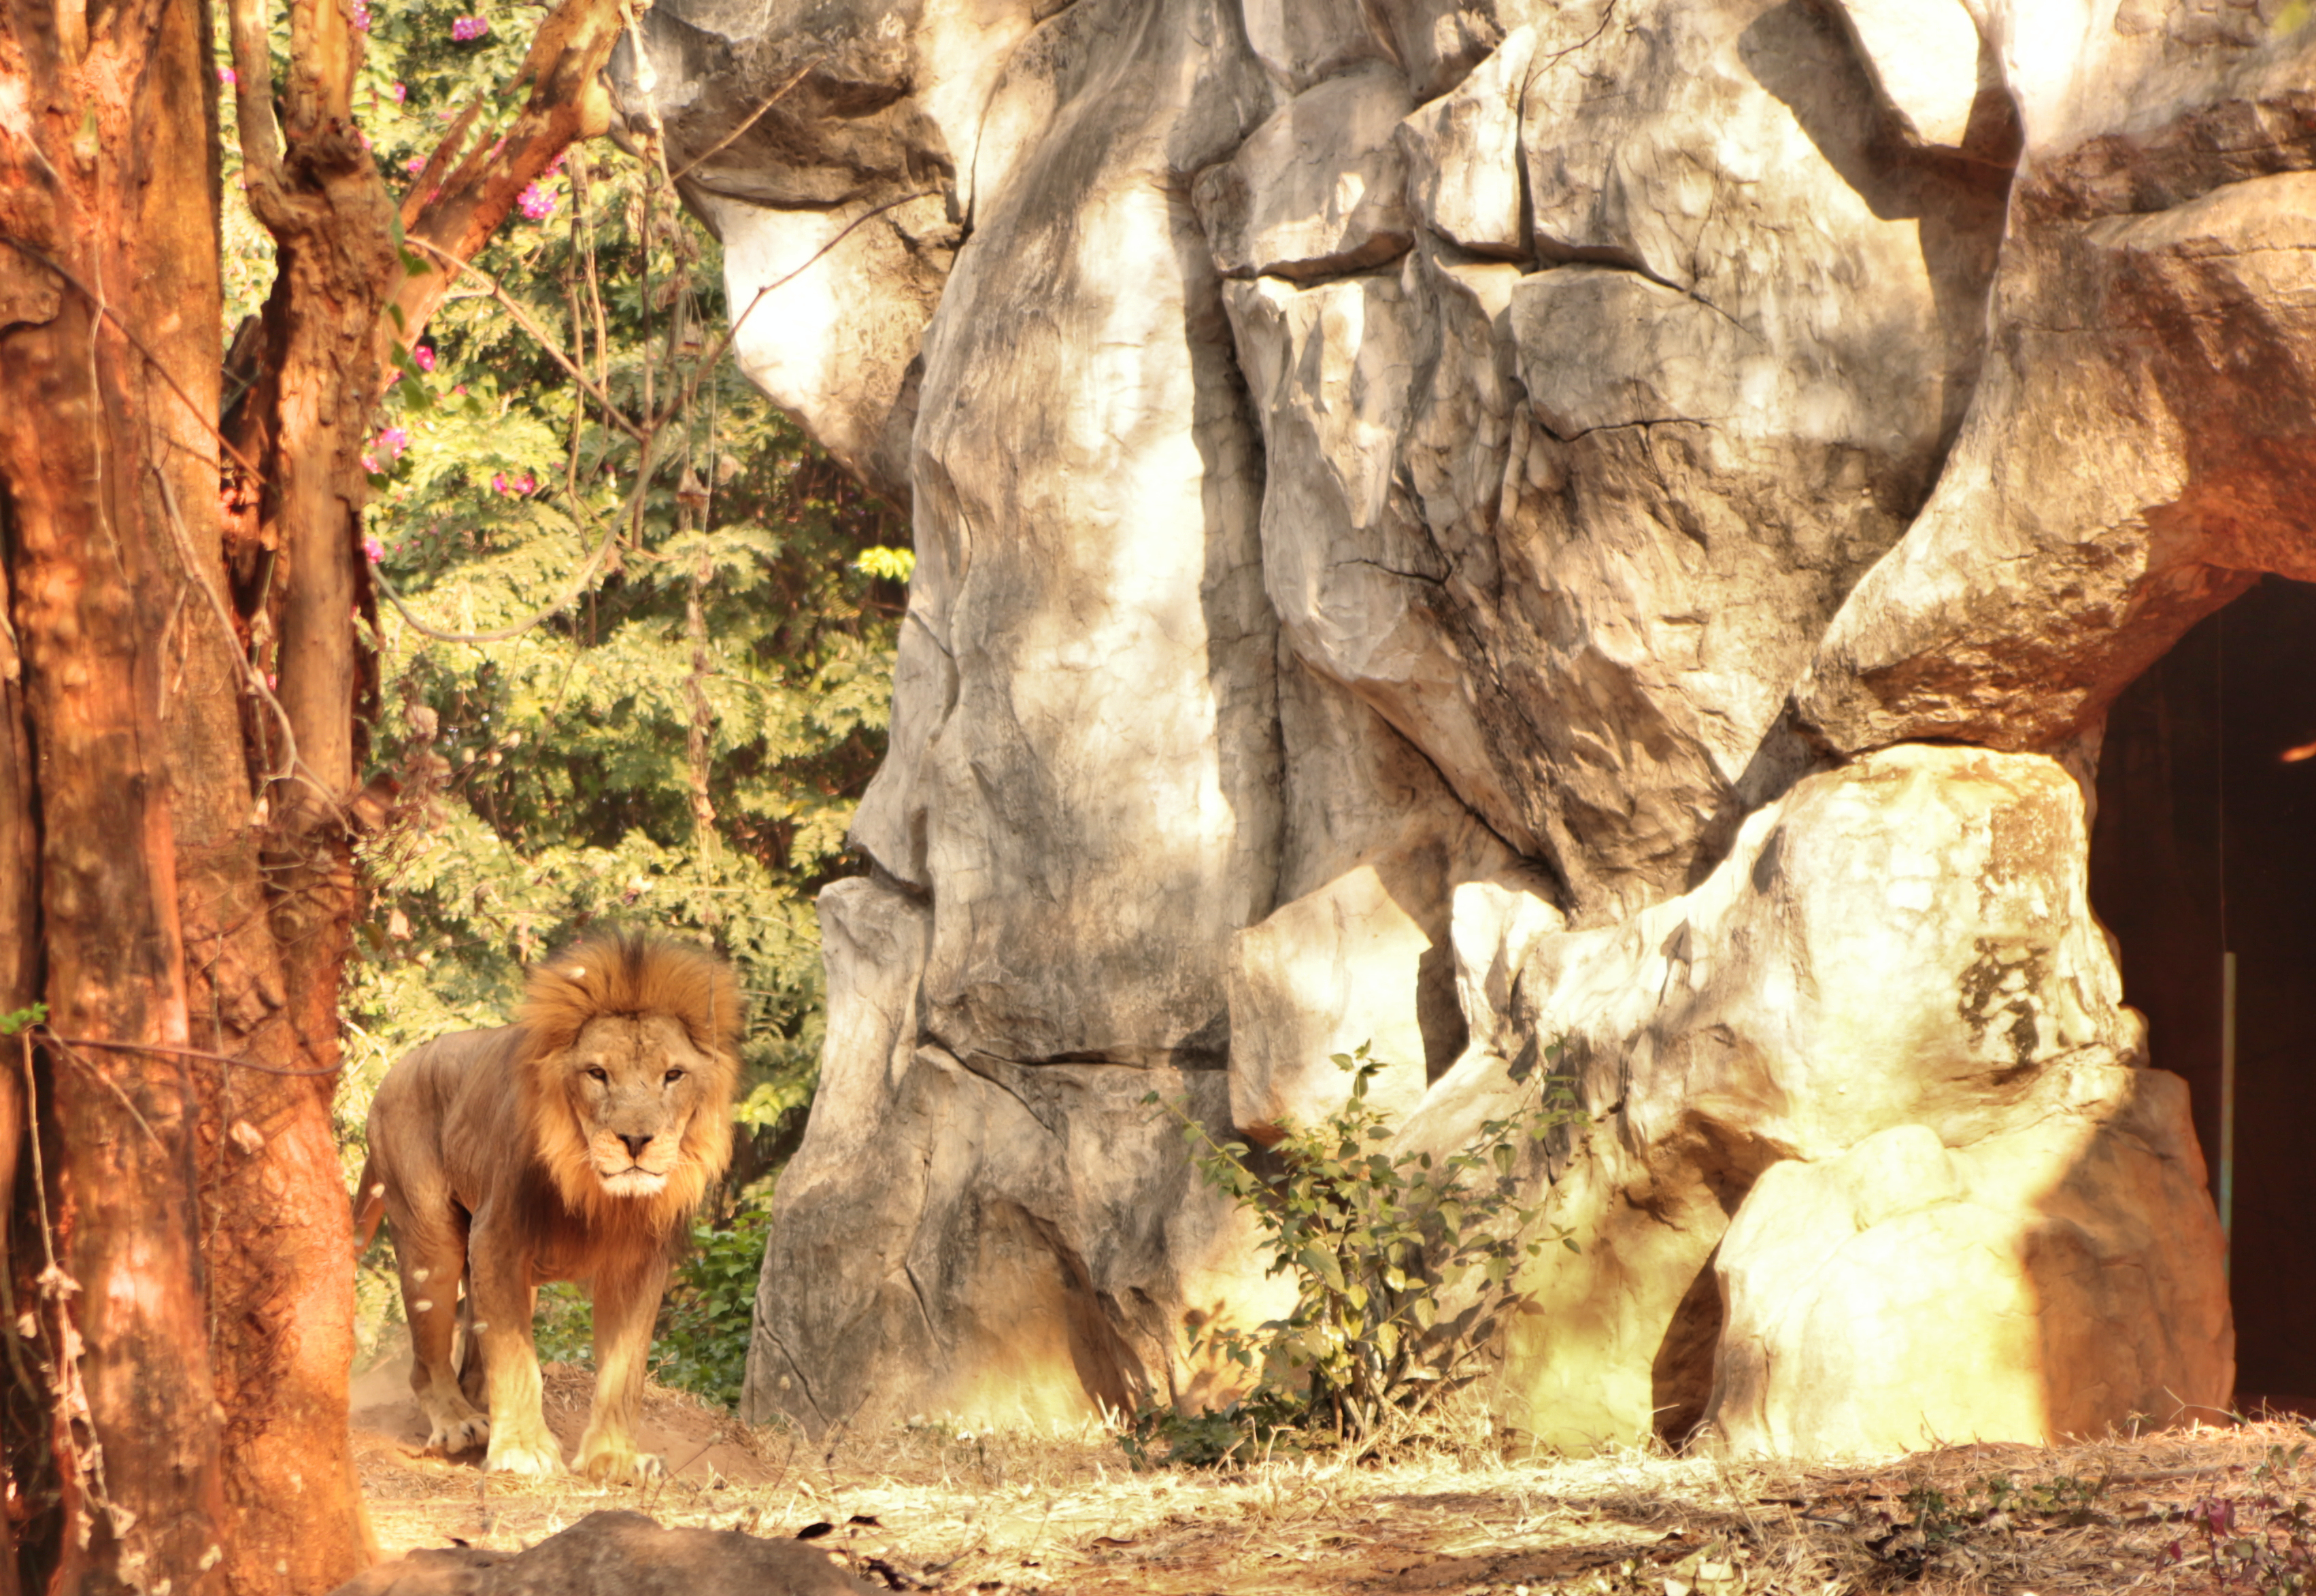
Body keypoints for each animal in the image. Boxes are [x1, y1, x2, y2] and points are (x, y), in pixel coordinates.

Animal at [352, 926, 741, 1473]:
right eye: (597, 1073)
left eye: (673, 1075)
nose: (636, 1140)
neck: (597, 1192)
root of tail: (396, 1070)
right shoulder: (497, 1241)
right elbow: (517, 1359)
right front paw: (522, 1452)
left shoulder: (639, 1262)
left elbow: (624, 1371)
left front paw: (613, 1457)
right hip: (432, 1239)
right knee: (427, 1357)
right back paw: (459, 1423)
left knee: (474, 1355)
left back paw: (481, 1408)